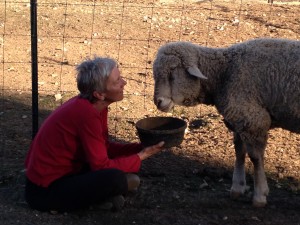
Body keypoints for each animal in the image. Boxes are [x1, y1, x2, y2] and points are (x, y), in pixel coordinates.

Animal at [152, 38, 300, 207]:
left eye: (172, 73)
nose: (158, 102)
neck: (223, 72)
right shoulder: (240, 121)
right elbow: (239, 152)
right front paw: (238, 188)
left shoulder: (253, 121)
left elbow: (256, 158)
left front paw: (259, 195)